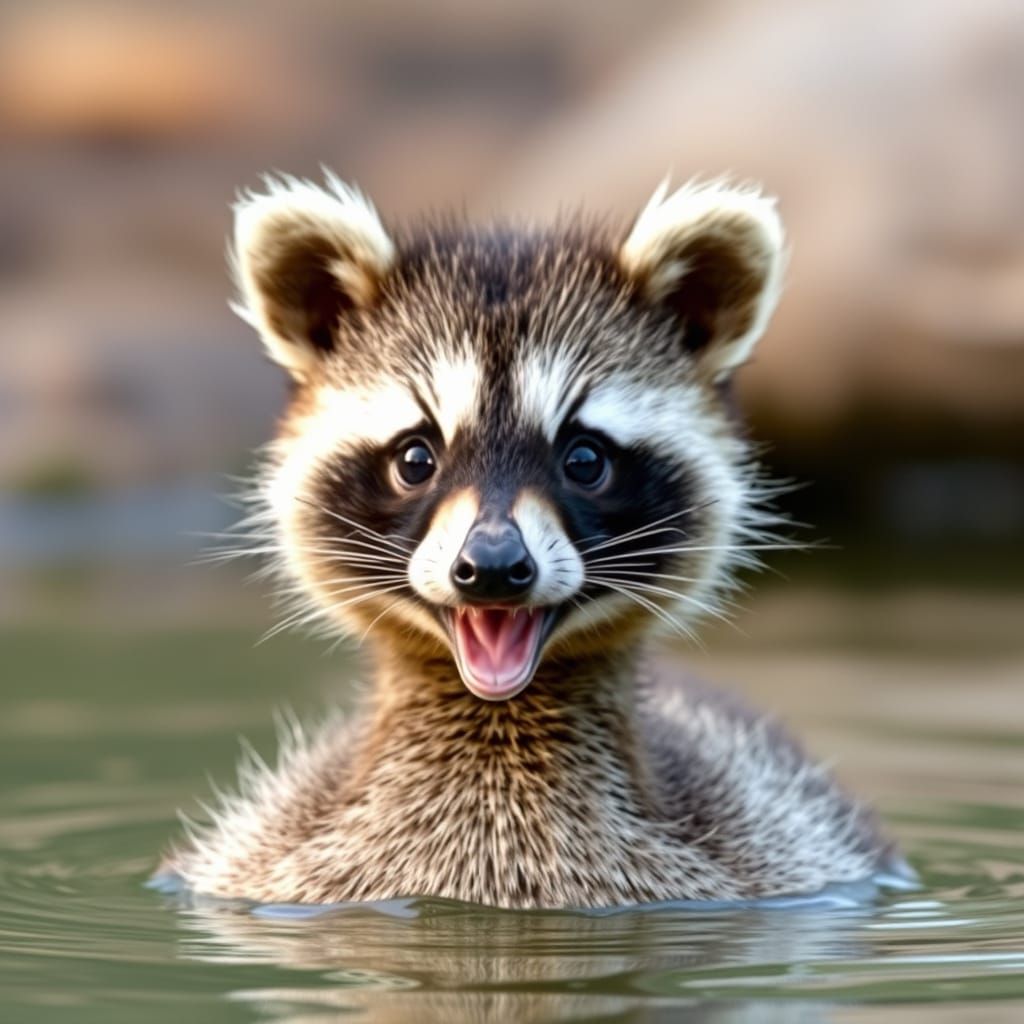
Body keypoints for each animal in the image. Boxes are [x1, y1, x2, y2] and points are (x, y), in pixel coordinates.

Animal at [163, 173, 896, 908]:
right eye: (416, 458)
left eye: (584, 459)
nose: (491, 565)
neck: (500, 718)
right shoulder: (257, 850)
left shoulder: (783, 846)